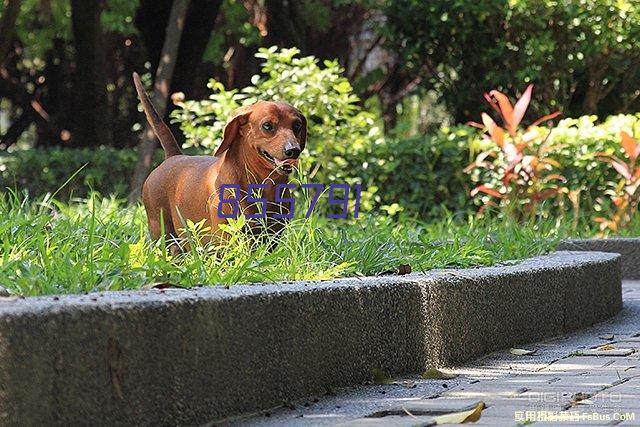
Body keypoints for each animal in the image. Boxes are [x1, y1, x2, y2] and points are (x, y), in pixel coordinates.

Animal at [131, 72, 306, 247]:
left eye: (297, 125)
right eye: (267, 125)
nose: (293, 150)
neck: (263, 184)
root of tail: (173, 157)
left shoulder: (271, 237)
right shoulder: (226, 236)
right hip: (163, 233)